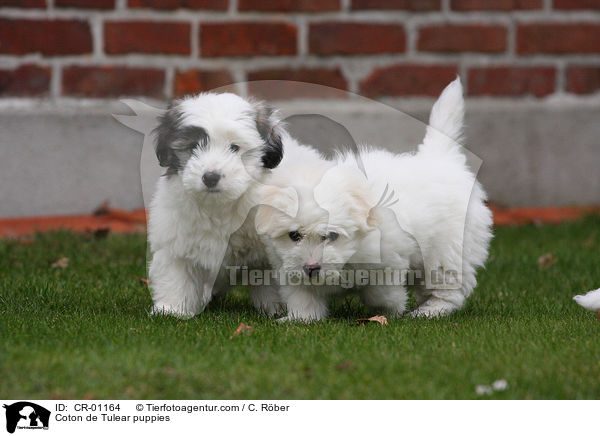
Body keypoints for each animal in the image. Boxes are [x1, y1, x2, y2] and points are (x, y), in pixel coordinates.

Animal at [148, 93, 322, 316]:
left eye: (234, 148)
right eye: (193, 147)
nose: (210, 177)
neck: (221, 205)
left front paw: (278, 309)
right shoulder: (176, 238)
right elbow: (176, 274)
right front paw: (172, 309)